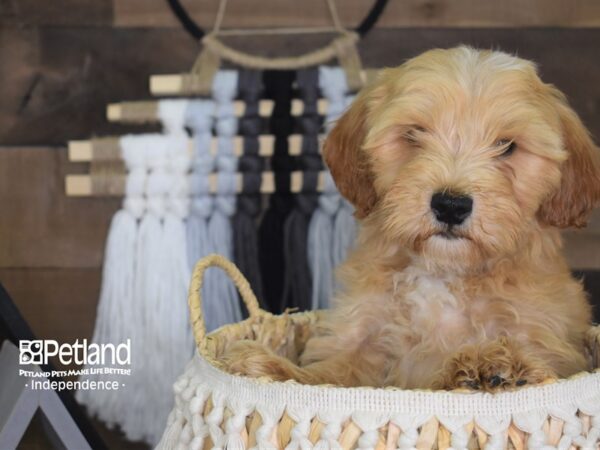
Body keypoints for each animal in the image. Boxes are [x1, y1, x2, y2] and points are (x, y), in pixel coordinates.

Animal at [225, 45, 600, 390]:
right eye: (413, 134)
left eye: (507, 146)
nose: (450, 205)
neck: (444, 272)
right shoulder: (362, 335)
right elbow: (327, 376)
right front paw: (269, 367)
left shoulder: (547, 340)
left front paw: (495, 364)